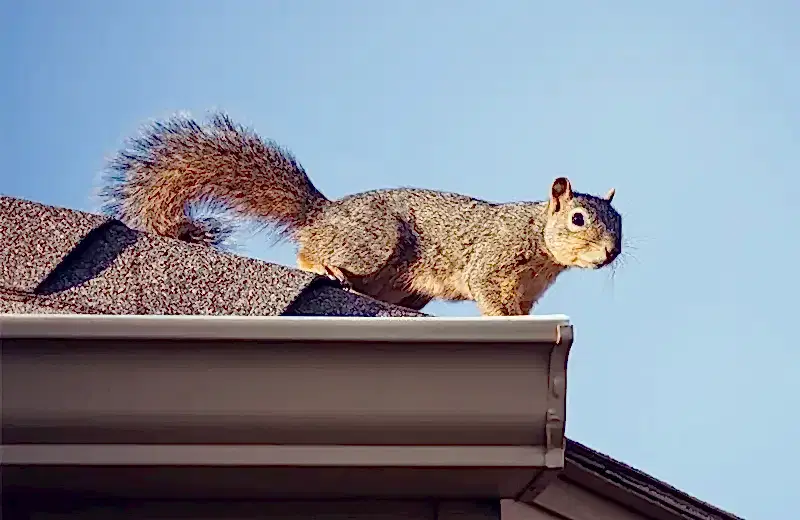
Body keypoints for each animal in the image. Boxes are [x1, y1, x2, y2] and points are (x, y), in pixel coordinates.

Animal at [99, 111, 623, 316]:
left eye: (620, 224)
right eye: (578, 218)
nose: (611, 253)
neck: (539, 241)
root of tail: (325, 213)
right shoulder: (493, 260)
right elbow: (489, 294)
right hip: (373, 241)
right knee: (308, 250)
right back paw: (324, 265)